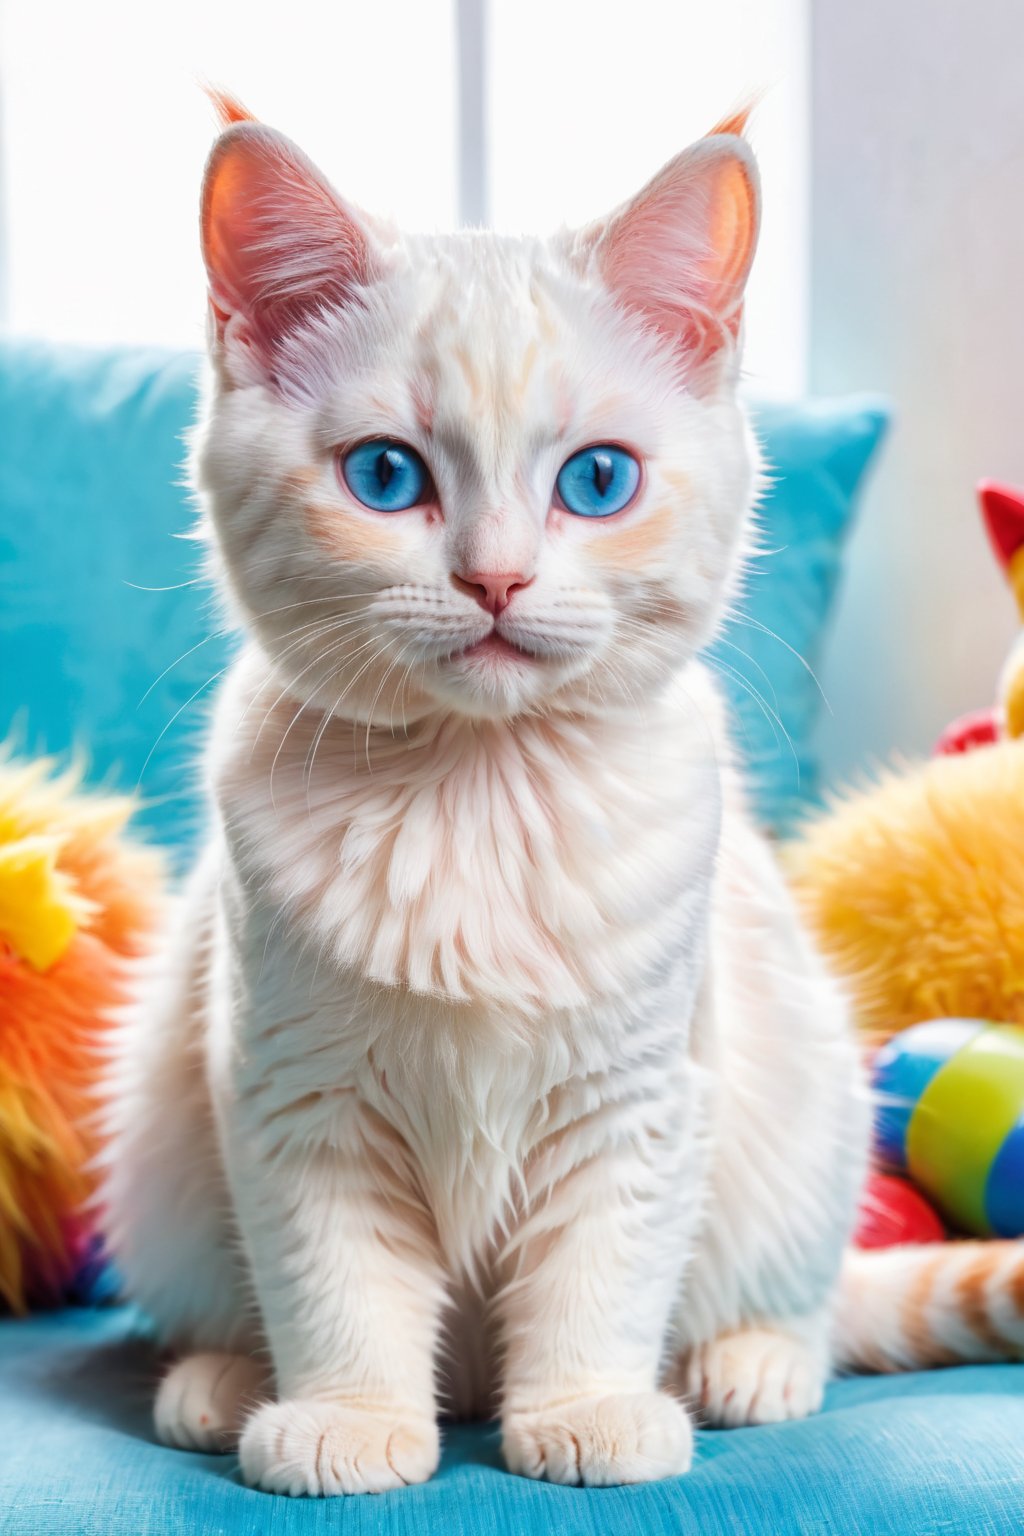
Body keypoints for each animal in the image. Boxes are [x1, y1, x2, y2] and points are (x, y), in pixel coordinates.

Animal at [99, 102, 1013, 1492]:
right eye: (384, 476)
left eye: (596, 482)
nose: (495, 580)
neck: (477, 797)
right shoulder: (294, 1095)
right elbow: (336, 1281)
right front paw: (350, 1419)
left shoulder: (639, 1098)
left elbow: (601, 1273)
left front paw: (587, 1410)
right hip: (160, 1158)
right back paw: (221, 1382)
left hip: (811, 1112)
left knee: (807, 1303)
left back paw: (750, 1366)